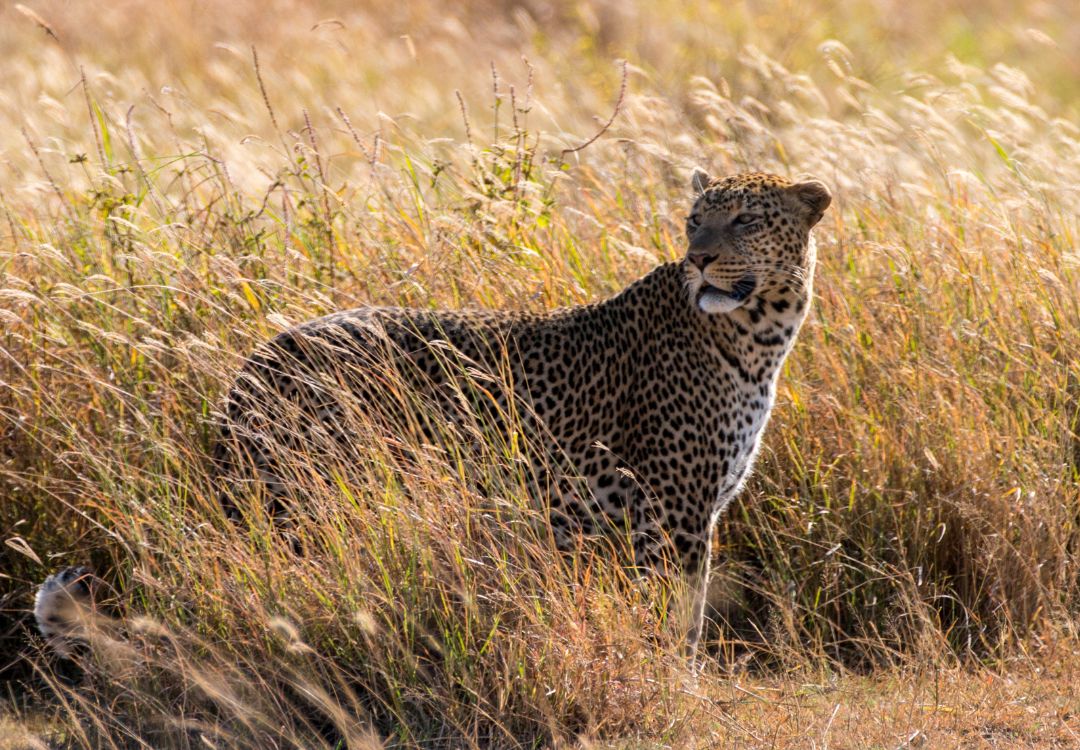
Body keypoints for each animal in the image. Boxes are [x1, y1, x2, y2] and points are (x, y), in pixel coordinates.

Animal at [211, 169, 831, 657]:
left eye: (745, 220)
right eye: (693, 220)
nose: (699, 258)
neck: (760, 337)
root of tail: (258, 359)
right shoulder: (672, 512)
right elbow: (678, 620)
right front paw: (678, 685)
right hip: (306, 503)